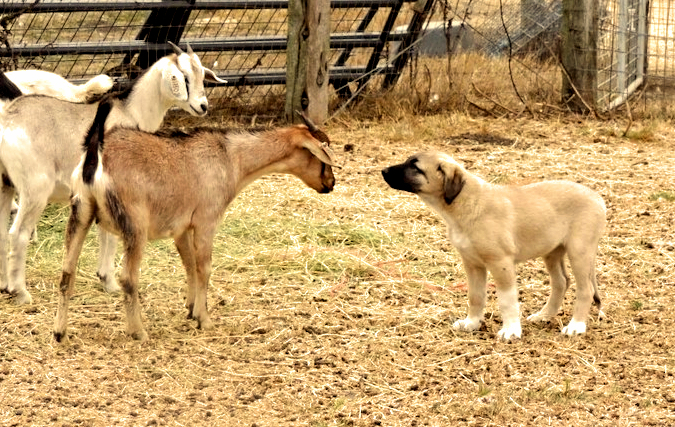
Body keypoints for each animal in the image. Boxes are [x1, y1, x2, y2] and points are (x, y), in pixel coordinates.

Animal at [0, 42, 227, 304]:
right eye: (184, 78)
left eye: (202, 75)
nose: (203, 106)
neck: (131, 113)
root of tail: (8, 120)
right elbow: (110, 234)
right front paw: (109, 282)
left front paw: (105, 279)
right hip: (35, 189)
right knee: (18, 234)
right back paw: (21, 292)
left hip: (5, 185)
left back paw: (4, 285)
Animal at [53, 102, 338, 342]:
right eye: (321, 157)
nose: (330, 184)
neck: (231, 159)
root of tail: (96, 156)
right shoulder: (206, 220)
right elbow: (204, 267)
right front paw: (204, 319)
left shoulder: (181, 228)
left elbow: (189, 265)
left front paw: (191, 309)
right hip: (135, 225)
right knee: (128, 277)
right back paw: (139, 332)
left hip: (80, 212)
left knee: (67, 274)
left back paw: (59, 333)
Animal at [380, 152, 608, 340]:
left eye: (415, 167)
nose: (383, 171)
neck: (464, 204)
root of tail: (597, 197)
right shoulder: (472, 264)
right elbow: (476, 296)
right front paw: (471, 323)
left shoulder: (500, 263)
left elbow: (507, 300)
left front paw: (511, 331)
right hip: (552, 250)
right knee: (561, 282)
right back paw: (544, 315)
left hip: (580, 251)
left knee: (585, 289)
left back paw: (576, 326)